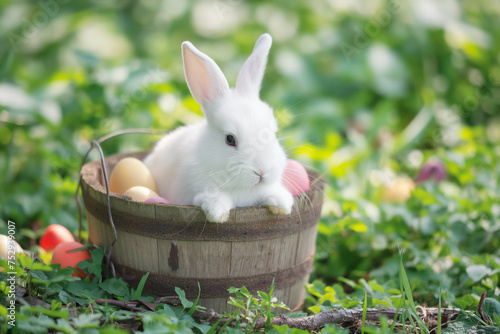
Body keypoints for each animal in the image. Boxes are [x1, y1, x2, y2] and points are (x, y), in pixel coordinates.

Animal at [143, 34, 292, 223]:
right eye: (230, 139)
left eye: (273, 134)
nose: (261, 172)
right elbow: (210, 199)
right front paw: (218, 212)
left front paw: (282, 204)